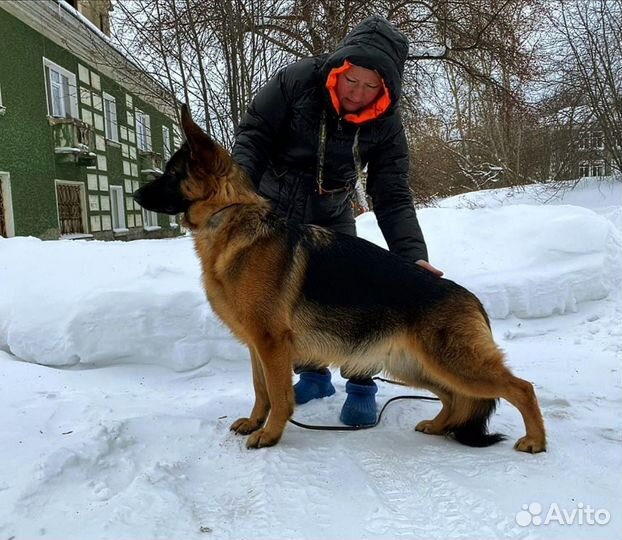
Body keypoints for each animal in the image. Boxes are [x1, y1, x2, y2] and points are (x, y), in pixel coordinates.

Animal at [134, 105, 548, 452]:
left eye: (172, 174)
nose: (135, 195)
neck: (231, 217)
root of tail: (471, 299)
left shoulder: (272, 343)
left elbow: (279, 395)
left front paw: (270, 434)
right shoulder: (257, 346)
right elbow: (260, 390)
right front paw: (255, 422)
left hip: (453, 362)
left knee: (521, 388)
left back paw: (535, 441)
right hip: (415, 365)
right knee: (453, 396)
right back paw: (438, 425)